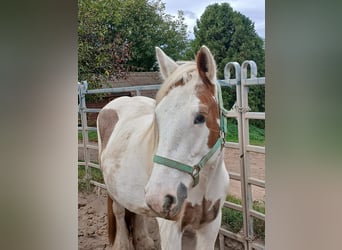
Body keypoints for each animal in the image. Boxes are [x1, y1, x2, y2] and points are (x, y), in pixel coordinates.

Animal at [97, 46, 230, 249]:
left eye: (200, 117)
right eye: (157, 116)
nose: (159, 198)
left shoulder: (210, 226)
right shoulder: (171, 230)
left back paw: (143, 240)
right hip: (113, 189)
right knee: (119, 211)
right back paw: (122, 244)